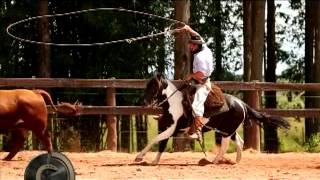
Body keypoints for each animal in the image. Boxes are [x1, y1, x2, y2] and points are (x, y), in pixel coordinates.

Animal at [135, 74, 290, 165]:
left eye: (154, 86)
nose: (145, 102)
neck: (174, 104)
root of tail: (242, 104)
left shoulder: (172, 129)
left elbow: (155, 140)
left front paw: (139, 157)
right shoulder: (165, 128)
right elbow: (160, 143)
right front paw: (154, 161)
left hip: (226, 131)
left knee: (225, 145)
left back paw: (213, 161)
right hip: (228, 130)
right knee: (239, 142)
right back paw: (236, 161)